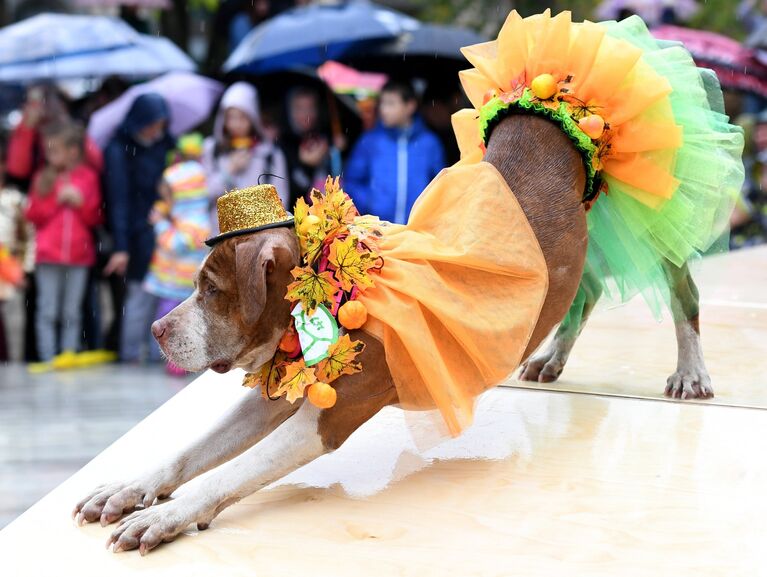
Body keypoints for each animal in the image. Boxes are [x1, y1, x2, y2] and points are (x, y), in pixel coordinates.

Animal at [72, 113, 712, 552]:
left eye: (211, 289)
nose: (156, 327)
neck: (329, 292)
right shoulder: (277, 397)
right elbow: (193, 451)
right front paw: (130, 489)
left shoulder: (325, 420)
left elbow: (228, 473)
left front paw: (167, 516)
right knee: (590, 288)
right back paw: (550, 358)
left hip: (651, 215)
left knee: (682, 289)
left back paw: (690, 371)